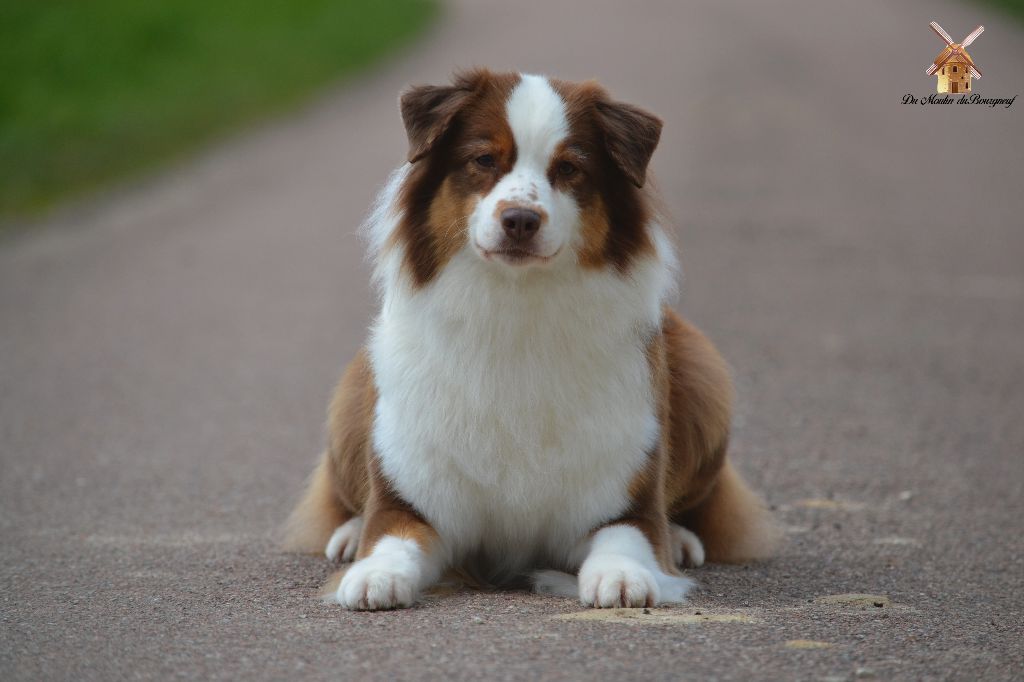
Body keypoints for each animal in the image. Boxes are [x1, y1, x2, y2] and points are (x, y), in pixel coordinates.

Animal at [282, 70, 774, 610]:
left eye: (569, 168)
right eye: (483, 160)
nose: (520, 219)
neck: (514, 310)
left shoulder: (626, 500)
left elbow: (628, 539)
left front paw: (623, 577)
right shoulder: (411, 499)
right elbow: (391, 535)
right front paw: (373, 573)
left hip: (705, 373)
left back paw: (683, 539)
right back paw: (348, 537)